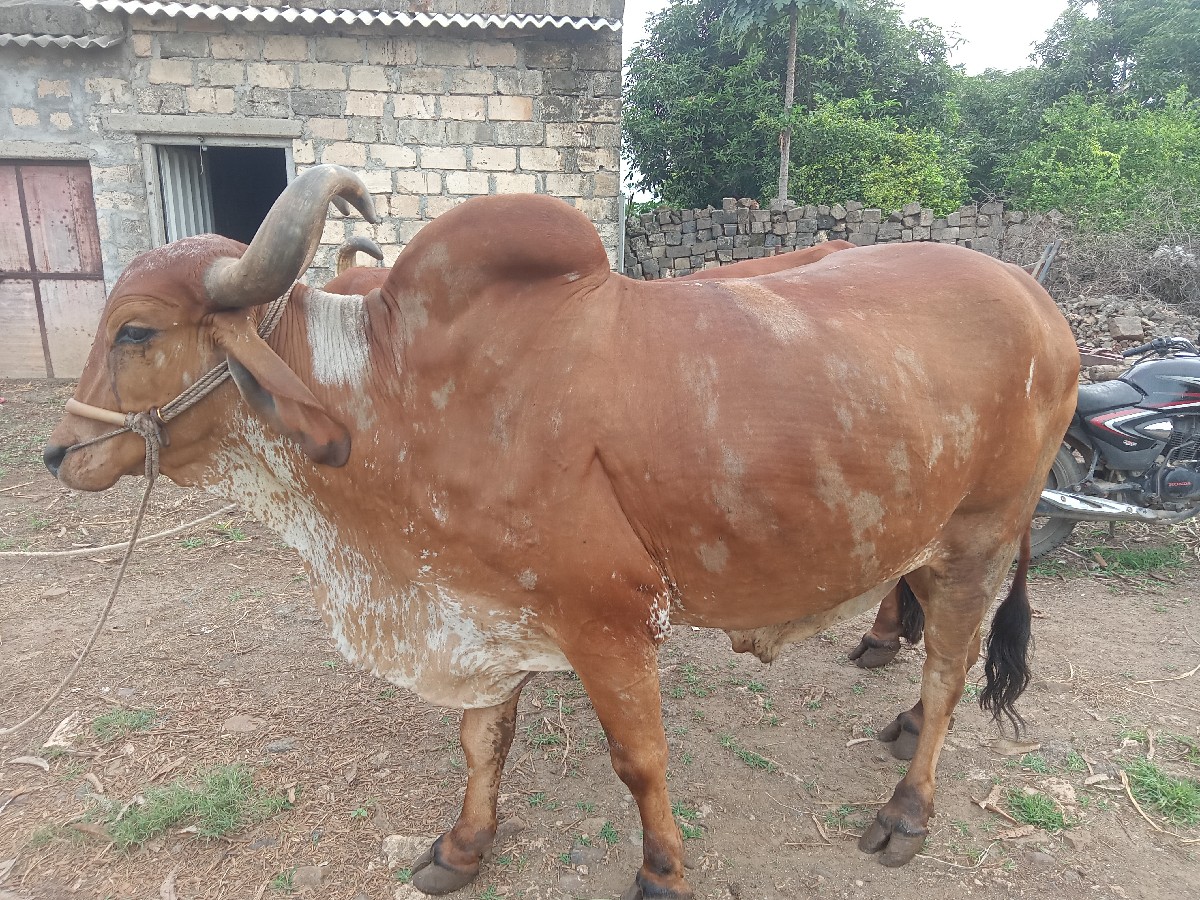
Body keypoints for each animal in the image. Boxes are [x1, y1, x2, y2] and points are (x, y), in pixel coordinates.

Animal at [44, 165, 1078, 899]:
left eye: (135, 331)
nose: (57, 453)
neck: (399, 397)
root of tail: (1040, 301)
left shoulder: (607, 622)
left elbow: (640, 759)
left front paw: (663, 872)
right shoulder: (480, 608)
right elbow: (481, 741)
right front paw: (464, 845)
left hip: (982, 536)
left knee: (950, 671)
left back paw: (907, 808)